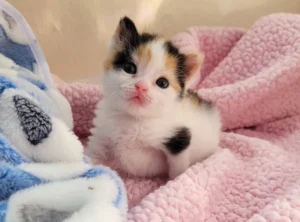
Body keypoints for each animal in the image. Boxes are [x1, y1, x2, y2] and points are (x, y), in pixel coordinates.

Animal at [86, 16, 220, 178]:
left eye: (162, 83)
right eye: (129, 68)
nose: (141, 87)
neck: (134, 120)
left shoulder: (179, 140)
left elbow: (178, 169)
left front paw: (173, 182)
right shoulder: (102, 134)